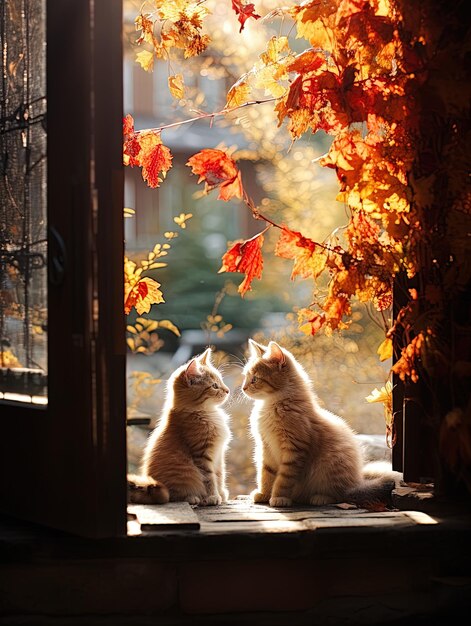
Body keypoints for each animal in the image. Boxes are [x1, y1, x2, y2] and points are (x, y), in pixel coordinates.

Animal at [129, 348, 232, 504]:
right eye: (214, 386)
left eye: (221, 381)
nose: (227, 390)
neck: (206, 413)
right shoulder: (202, 455)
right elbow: (209, 478)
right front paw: (213, 496)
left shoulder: (219, 455)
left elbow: (220, 475)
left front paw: (221, 493)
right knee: (174, 496)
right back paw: (193, 498)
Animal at [243, 338, 402, 504]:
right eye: (245, 377)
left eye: (254, 379)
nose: (243, 388)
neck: (273, 405)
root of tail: (357, 480)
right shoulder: (265, 447)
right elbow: (266, 474)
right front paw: (264, 494)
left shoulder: (294, 451)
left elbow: (283, 479)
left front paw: (279, 497)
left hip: (330, 466)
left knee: (340, 494)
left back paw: (320, 497)